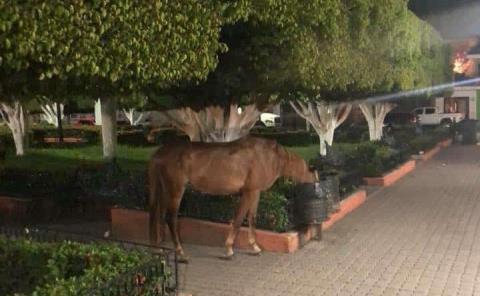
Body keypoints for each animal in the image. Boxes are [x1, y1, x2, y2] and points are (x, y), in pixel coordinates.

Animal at [148, 135, 316, 260]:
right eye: (316, 181)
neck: (270, 157)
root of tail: (159, 153)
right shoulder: (251, 191)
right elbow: (241, 218)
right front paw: (232, 249)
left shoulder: (253, 192)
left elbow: (248, 217)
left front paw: (250, 247)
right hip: (176, 190)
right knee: (170, 218)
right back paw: (180, 253)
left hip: (164, 189)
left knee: (157, 216)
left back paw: (158, 249)